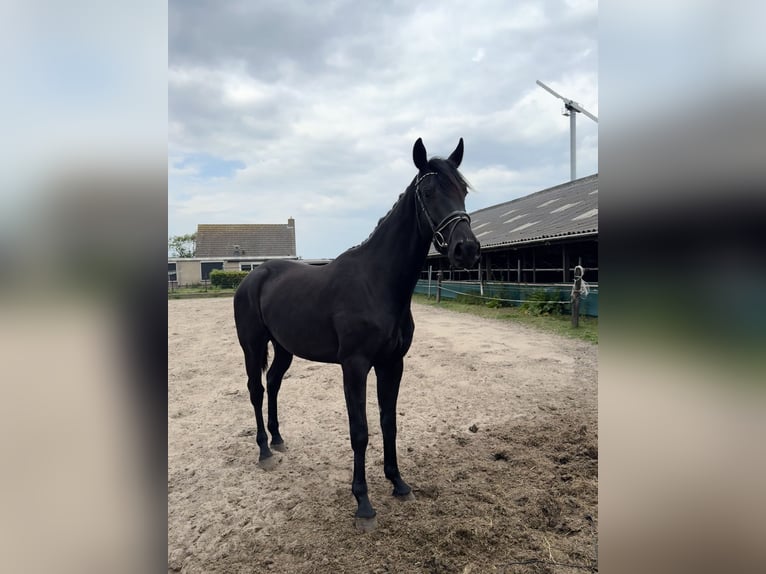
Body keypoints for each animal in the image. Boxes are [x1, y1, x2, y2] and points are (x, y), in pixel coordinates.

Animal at [233, 138, 481, 530]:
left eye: (463, 190)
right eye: (428, 191)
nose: (466, 249)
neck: (377, 282)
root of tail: (252, 277)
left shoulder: (392, 364)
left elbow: (388, 422)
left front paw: (398, 483)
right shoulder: (355, 366)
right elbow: (360, 431)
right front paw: (363, 503)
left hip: (284, 348)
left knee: (272, 384)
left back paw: (278, 438)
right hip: (252, 345)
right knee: (256, 389)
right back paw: (263, 450)